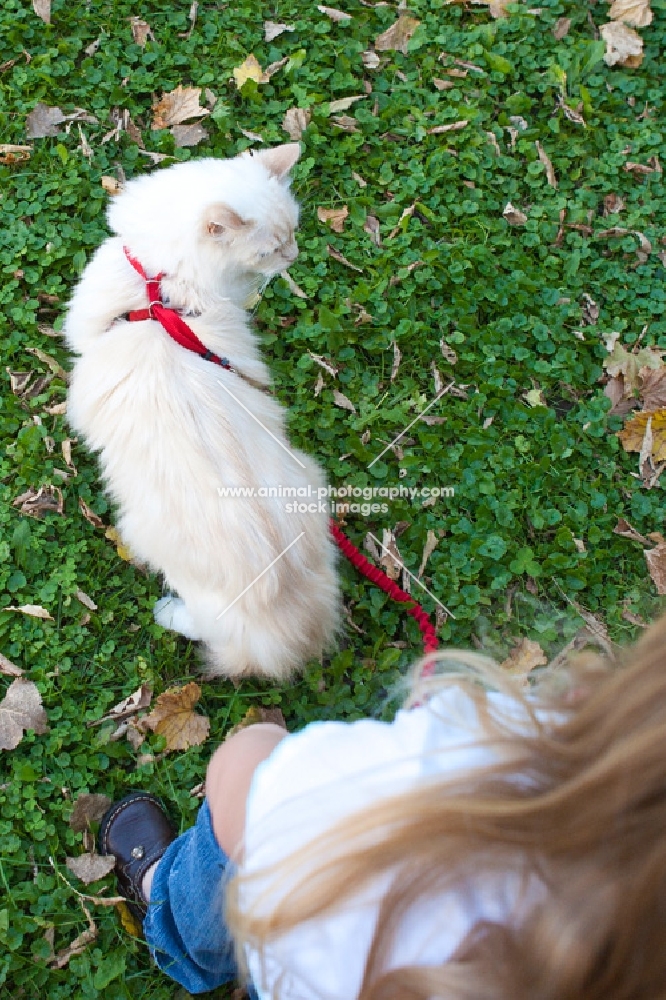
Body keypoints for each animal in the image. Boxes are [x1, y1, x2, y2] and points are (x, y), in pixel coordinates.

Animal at [65, 145, 338, 680]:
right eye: (271, 250)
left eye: (292, 235)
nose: (294, 257)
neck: (163, 291)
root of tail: (291, 622)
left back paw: (168, 613)